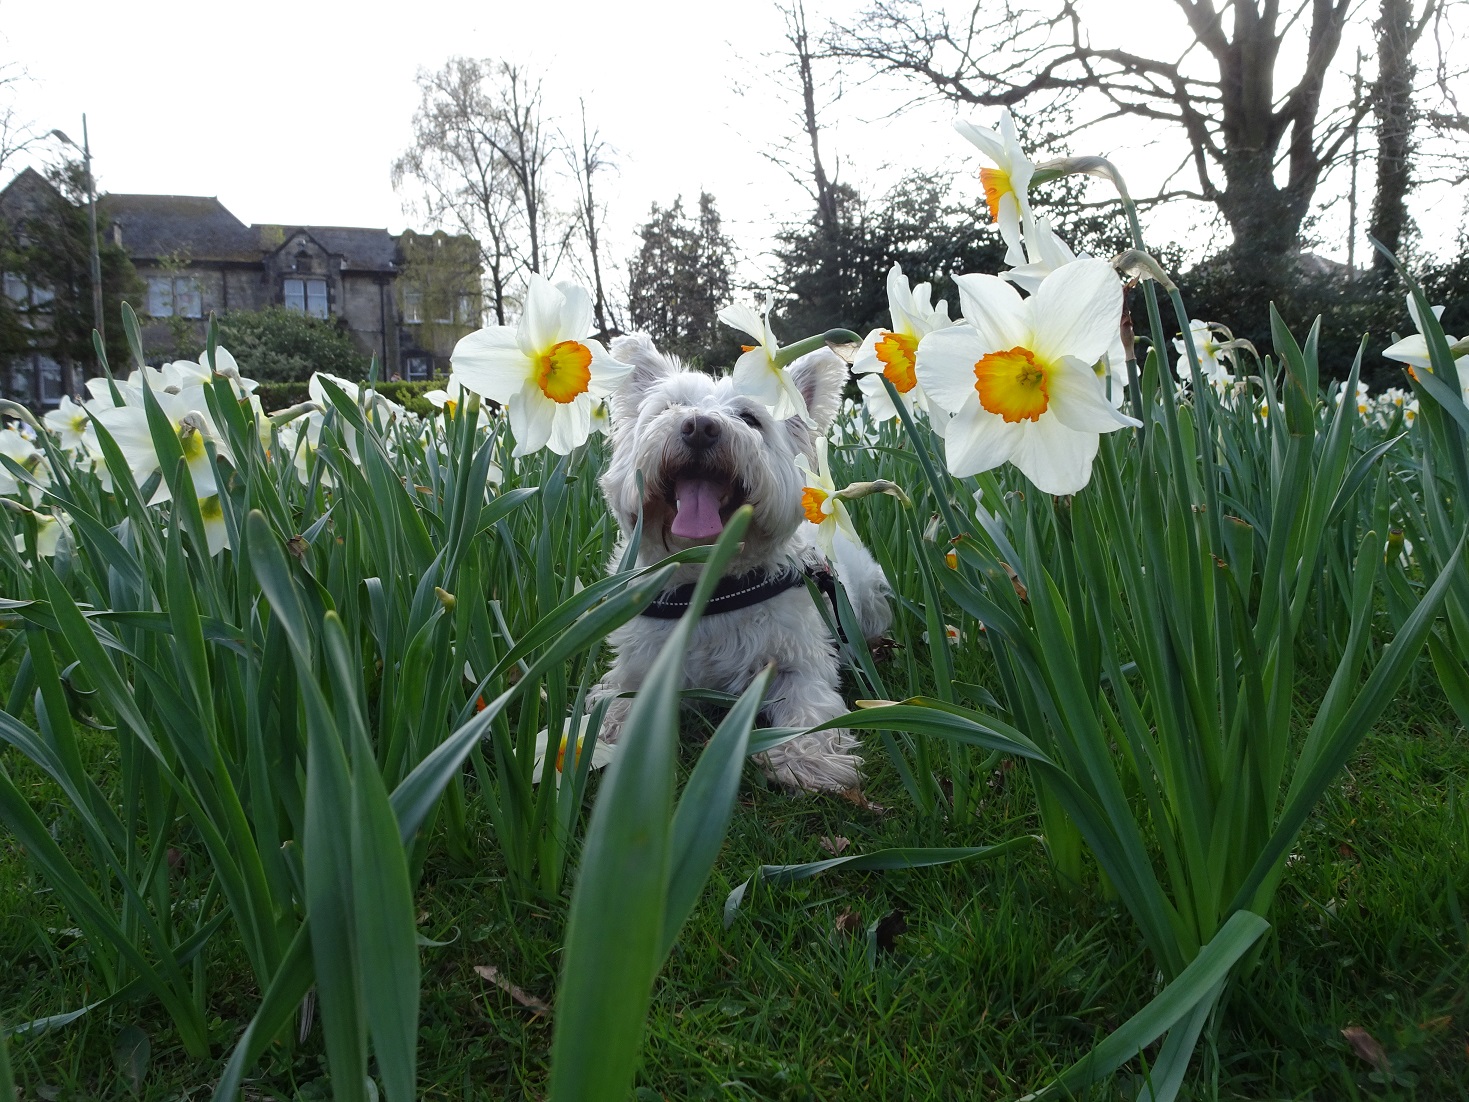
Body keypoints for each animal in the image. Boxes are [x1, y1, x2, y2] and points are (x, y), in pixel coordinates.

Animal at [587, 332, 887, 787]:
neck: (711, 583)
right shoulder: (642, 663)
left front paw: (810, 757)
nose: (699, 427)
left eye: (750, 418)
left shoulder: (800, 660)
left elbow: (810, 704)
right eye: (669, 408)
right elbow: (619, 695)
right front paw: (604, 736)